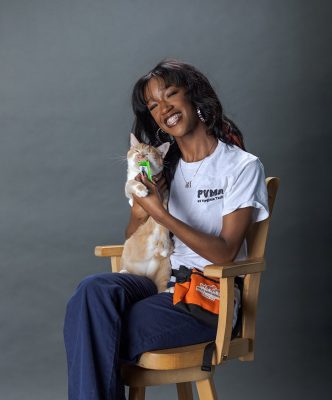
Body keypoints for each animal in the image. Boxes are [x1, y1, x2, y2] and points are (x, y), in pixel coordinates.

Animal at [121, 133, 174, 292]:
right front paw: (141, 191)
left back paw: (169, 289)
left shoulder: (164, 202)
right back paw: (124, 271)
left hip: (165, 267)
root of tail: (146, 274)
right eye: (137, 151)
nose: (141, 156)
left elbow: (163, 224)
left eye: (148, 154)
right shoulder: (128, 187)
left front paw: (164, 244)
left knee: (160, 287)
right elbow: (131, 183)